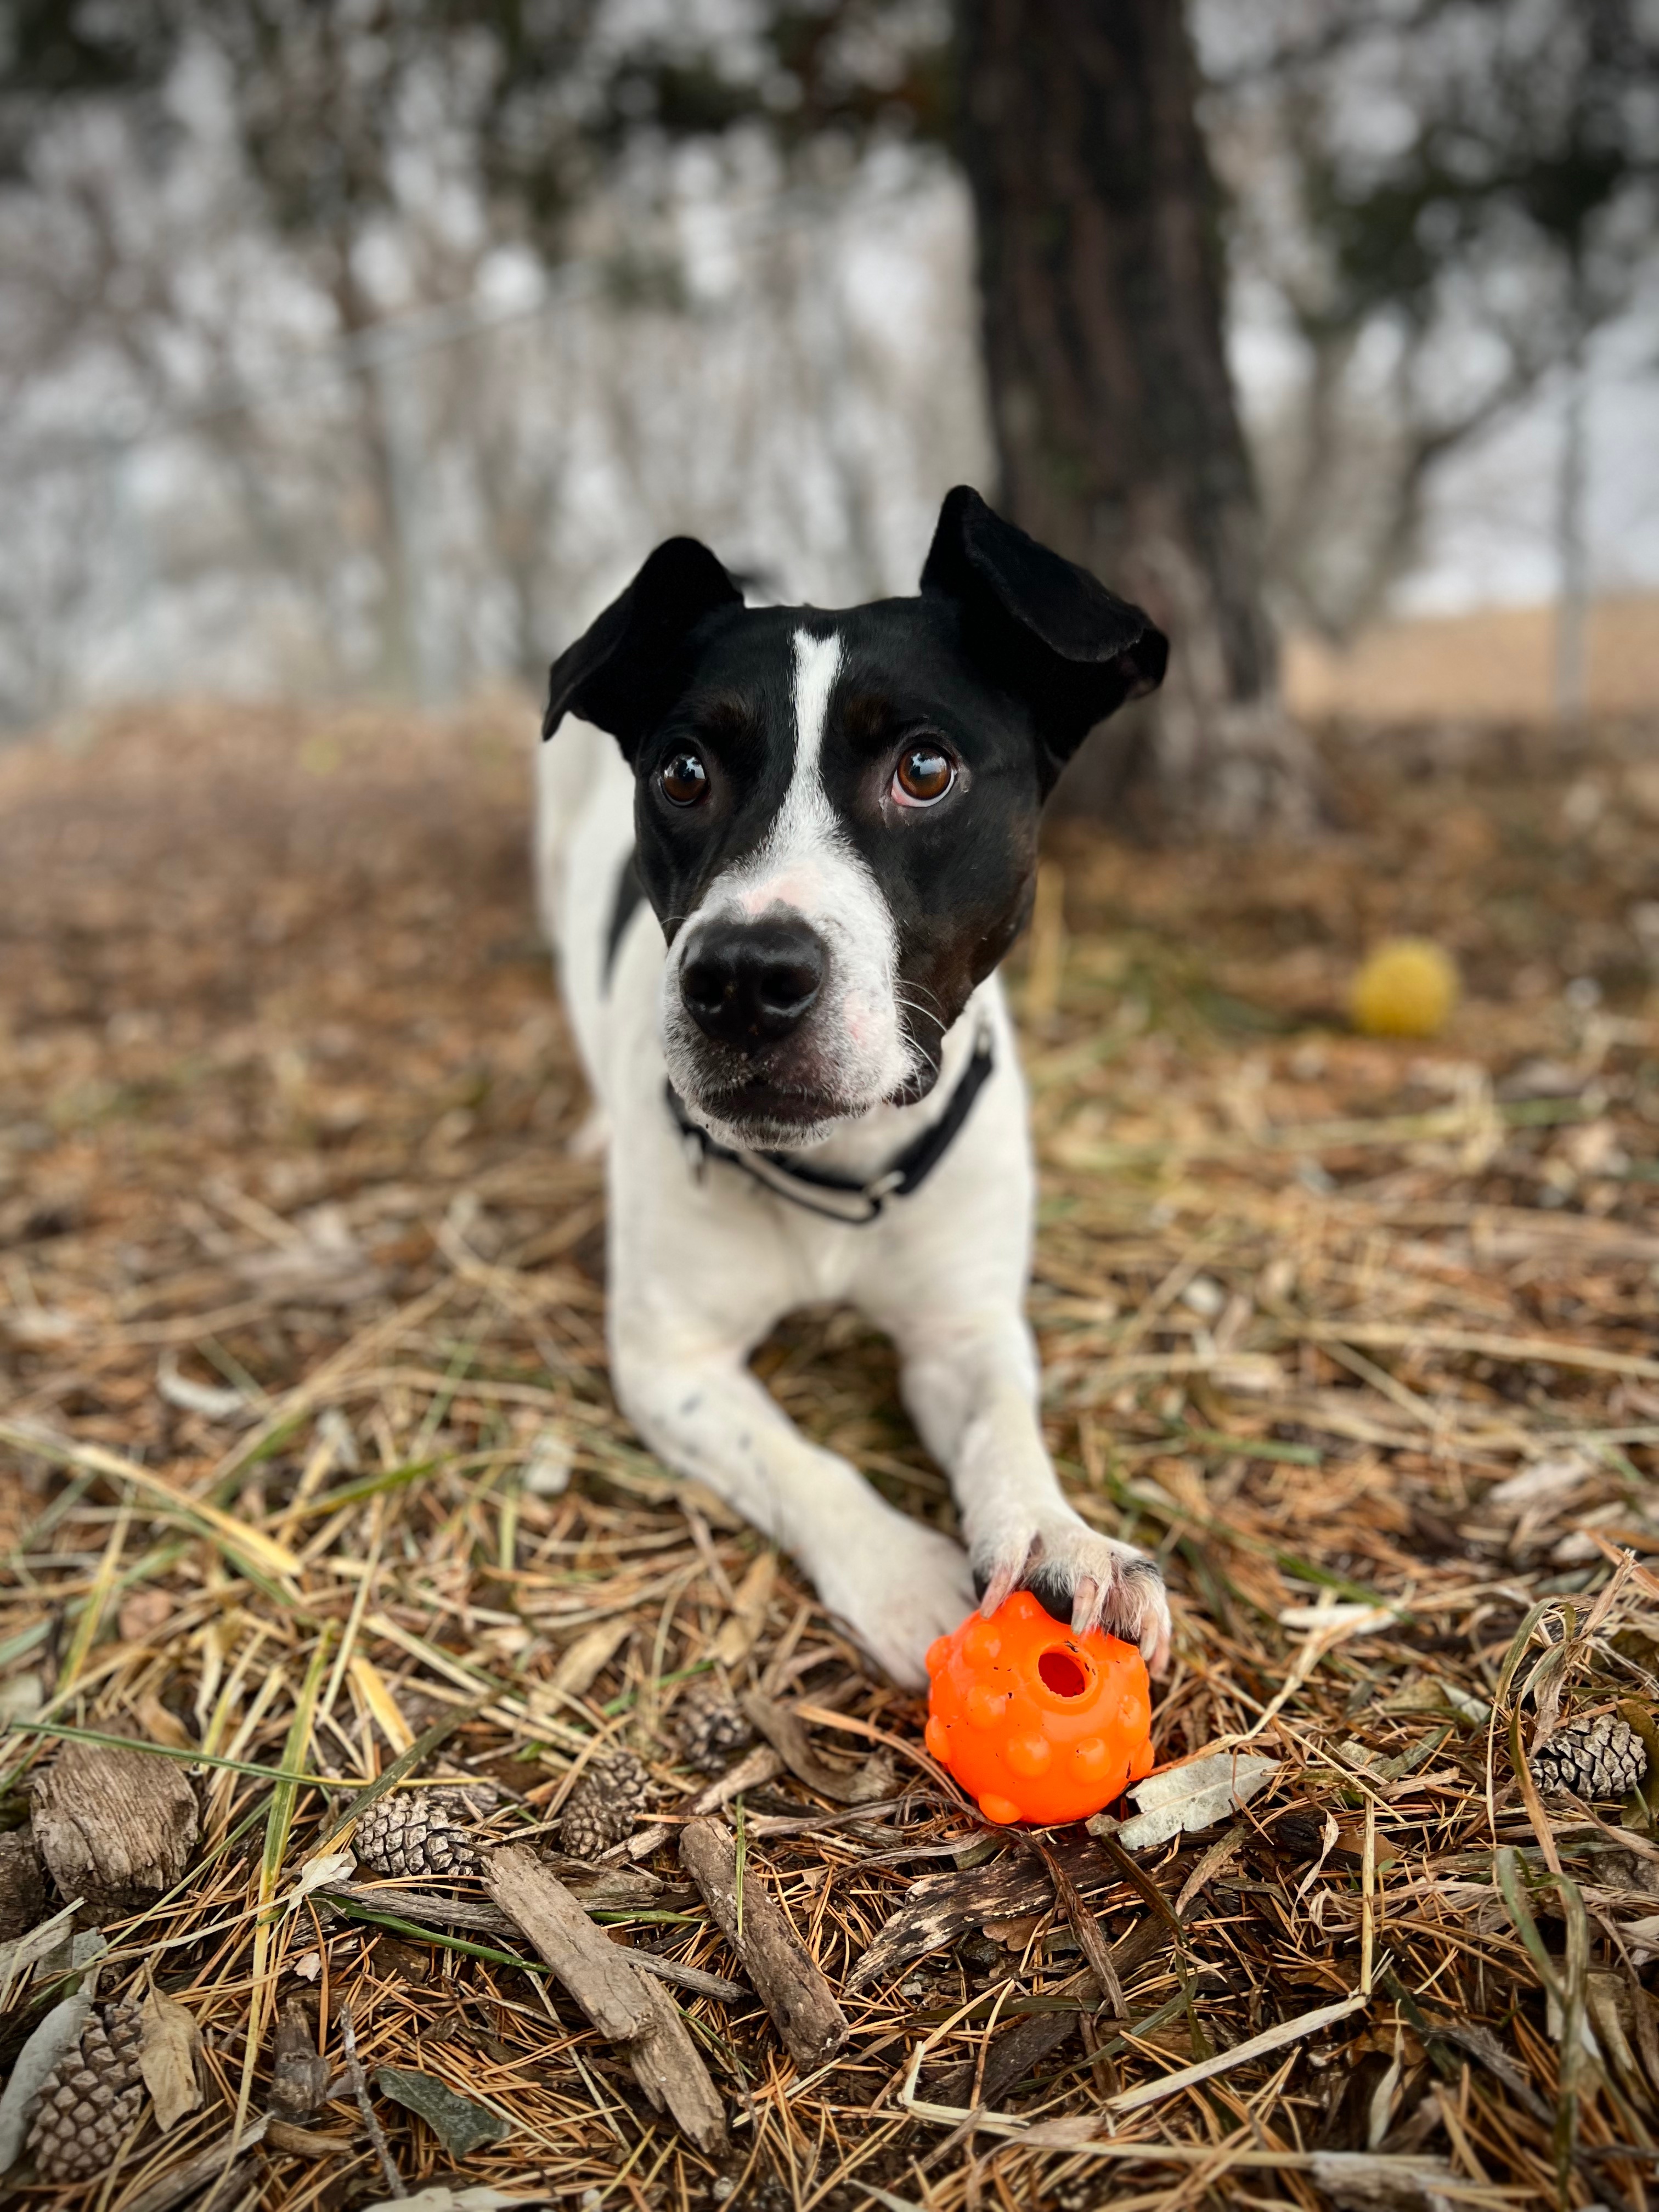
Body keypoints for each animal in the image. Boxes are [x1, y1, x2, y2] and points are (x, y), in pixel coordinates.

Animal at [534, 485, 1172, 1689]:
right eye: (682, 773)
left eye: (925, 770)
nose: (743, 978)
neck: (838, 1169)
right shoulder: (669, 1358)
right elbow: (802, 1461)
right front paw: (902, 1575)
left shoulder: (963, 1328)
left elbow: (1004, 1424)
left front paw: (1059, 1535)